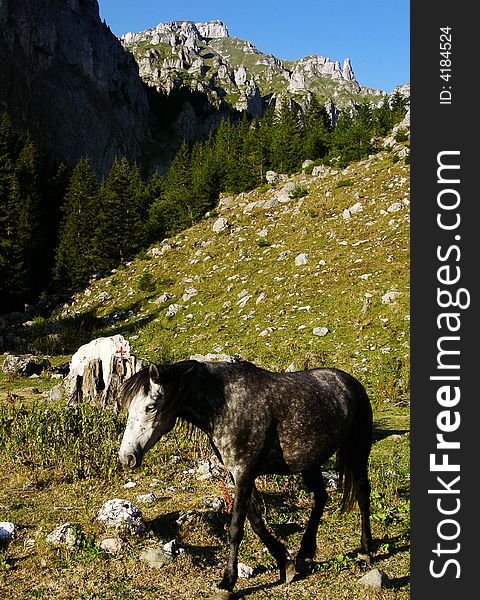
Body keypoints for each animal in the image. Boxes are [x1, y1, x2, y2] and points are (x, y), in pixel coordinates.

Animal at [117, 358, 376, 596]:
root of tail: (350, 382)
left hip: (358, 450)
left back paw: (365, 551)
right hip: (309, 462)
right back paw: (304, 555)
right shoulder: (238, 475)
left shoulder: (244, 473)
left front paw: (227, 582)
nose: (126, 457)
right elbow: (256, 522)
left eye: (150, 407)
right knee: (320, 498)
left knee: (363, 494)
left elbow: (235, 529)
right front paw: (285, 563)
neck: (227, 406)